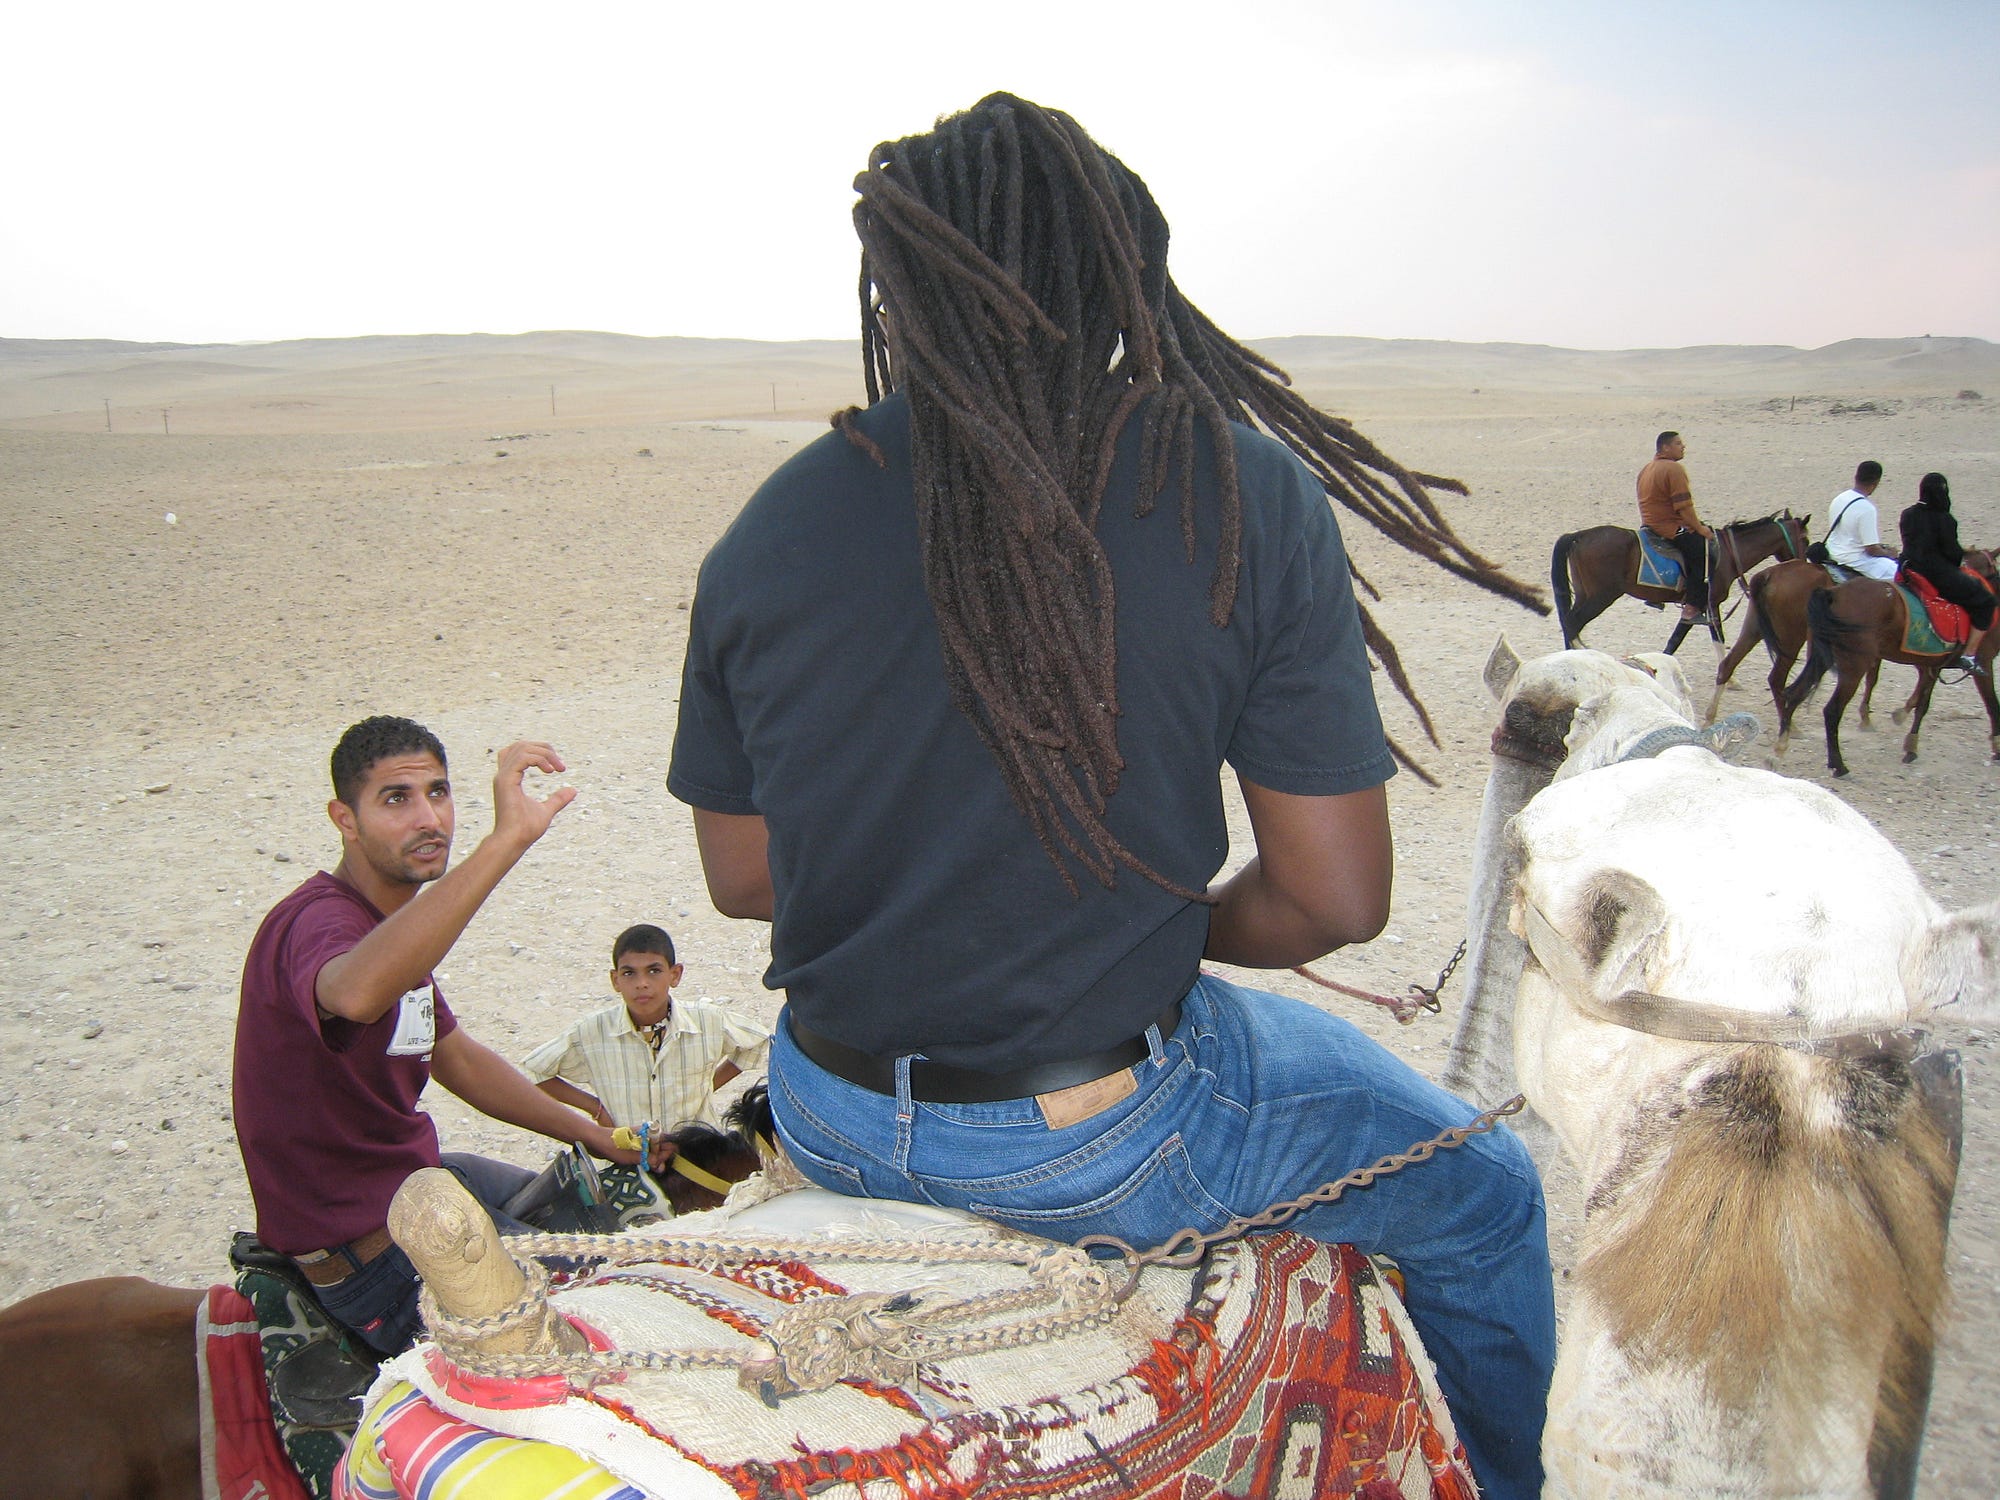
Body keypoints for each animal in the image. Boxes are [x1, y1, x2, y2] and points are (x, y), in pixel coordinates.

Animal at [1551, 511, 1809, 654]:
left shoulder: (1706, 606)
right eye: (1806, 539)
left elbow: (1706, 639)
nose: (1802, 563)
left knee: (1568, 622)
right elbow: (1682, 641)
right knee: (1572, 623)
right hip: (1601, 597)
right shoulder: (1704, 604)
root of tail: (1578, 536)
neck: (1725, 554)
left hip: (1585, 594)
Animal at [1778, 550, 2000, 776]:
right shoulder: (1983, 664)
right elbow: (1992, 705)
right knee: (1832, 710)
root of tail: (1834, 593)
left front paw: (1911, 746)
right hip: (1853, 667)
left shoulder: (1933, 666)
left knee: (1793, 693)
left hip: (1822, 658)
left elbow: (1923, 705)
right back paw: (1838, 765)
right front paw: (1997, 748)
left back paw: (1780, 747)